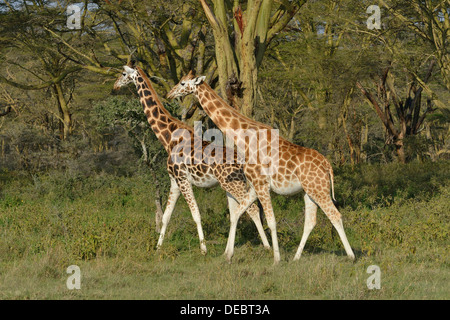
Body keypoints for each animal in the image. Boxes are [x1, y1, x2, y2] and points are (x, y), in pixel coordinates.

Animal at [112, 64, 268, 255]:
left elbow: (196, 214)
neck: (168, 137)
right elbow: (165, 216)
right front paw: (158, 248)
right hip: (231, 185)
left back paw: (266, 247)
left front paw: (203, 249)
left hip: (233, 183)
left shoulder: (183, 178)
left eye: (123, 74)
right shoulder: (174, 180)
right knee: (239, 211)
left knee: (252, 209)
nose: (115, 86)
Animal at [167, 71, 356, 264]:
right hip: (309, 191)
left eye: (183, 83)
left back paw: (351, 256)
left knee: (335, 215)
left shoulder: (262, 184)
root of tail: (328, 166)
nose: (169, 94)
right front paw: (228, 255)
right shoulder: (254, 186)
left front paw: (276, 259)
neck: (245, 138)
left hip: (319, 189)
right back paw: (296, 258)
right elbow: (237, 214)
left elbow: (271, 221)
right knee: (311, 222)